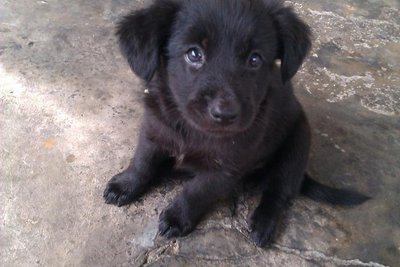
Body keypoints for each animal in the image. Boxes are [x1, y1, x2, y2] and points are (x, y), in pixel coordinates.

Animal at [104, 0, 368, 247]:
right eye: (194, 54)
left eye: (254, 59)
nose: (225, 114)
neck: (192, 130)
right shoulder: (153, 131)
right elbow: (142, 162)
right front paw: (126, 185)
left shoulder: (226, 167)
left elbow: (197, 191)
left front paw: (178, 216)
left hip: (297, 147)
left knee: (279, 192)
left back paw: (263, 223)